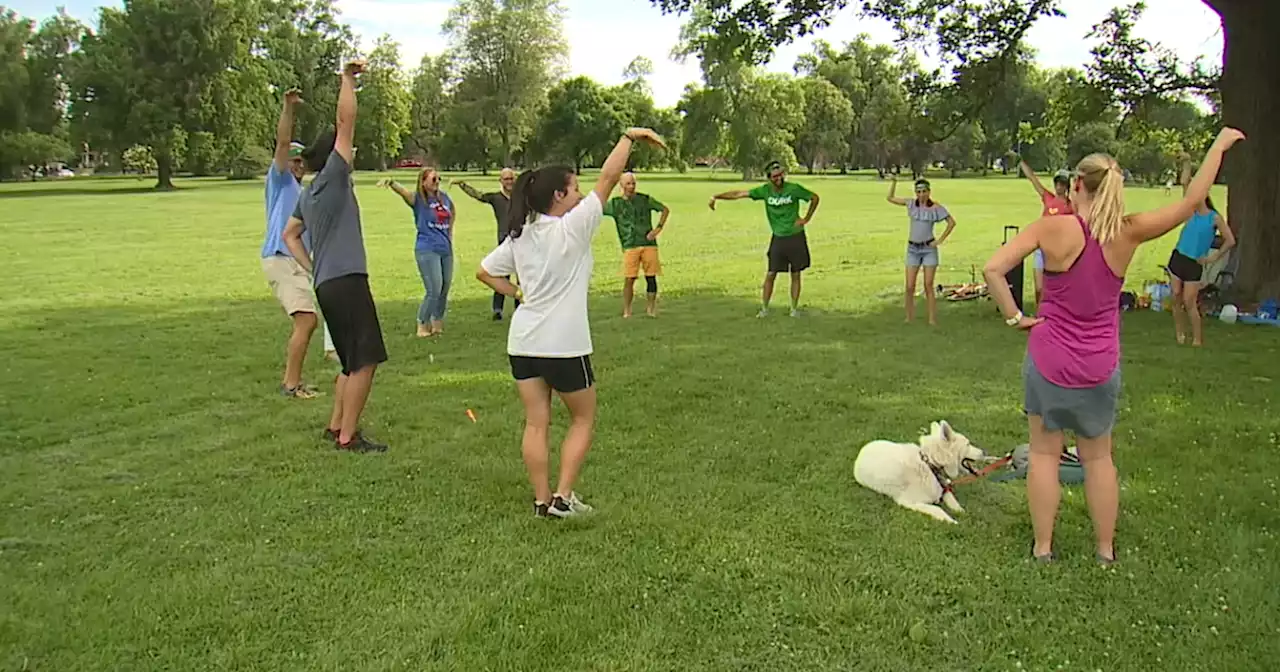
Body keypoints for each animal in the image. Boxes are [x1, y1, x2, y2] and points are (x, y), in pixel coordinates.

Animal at [855, 419, 983, 524]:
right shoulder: (908, 502)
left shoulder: (943, 489)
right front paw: (951, 520)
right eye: (968, 444)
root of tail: (863, 449)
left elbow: (953, 500)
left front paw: (962, 512)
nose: (984, 452)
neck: (929, 465)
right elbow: (937, 508)